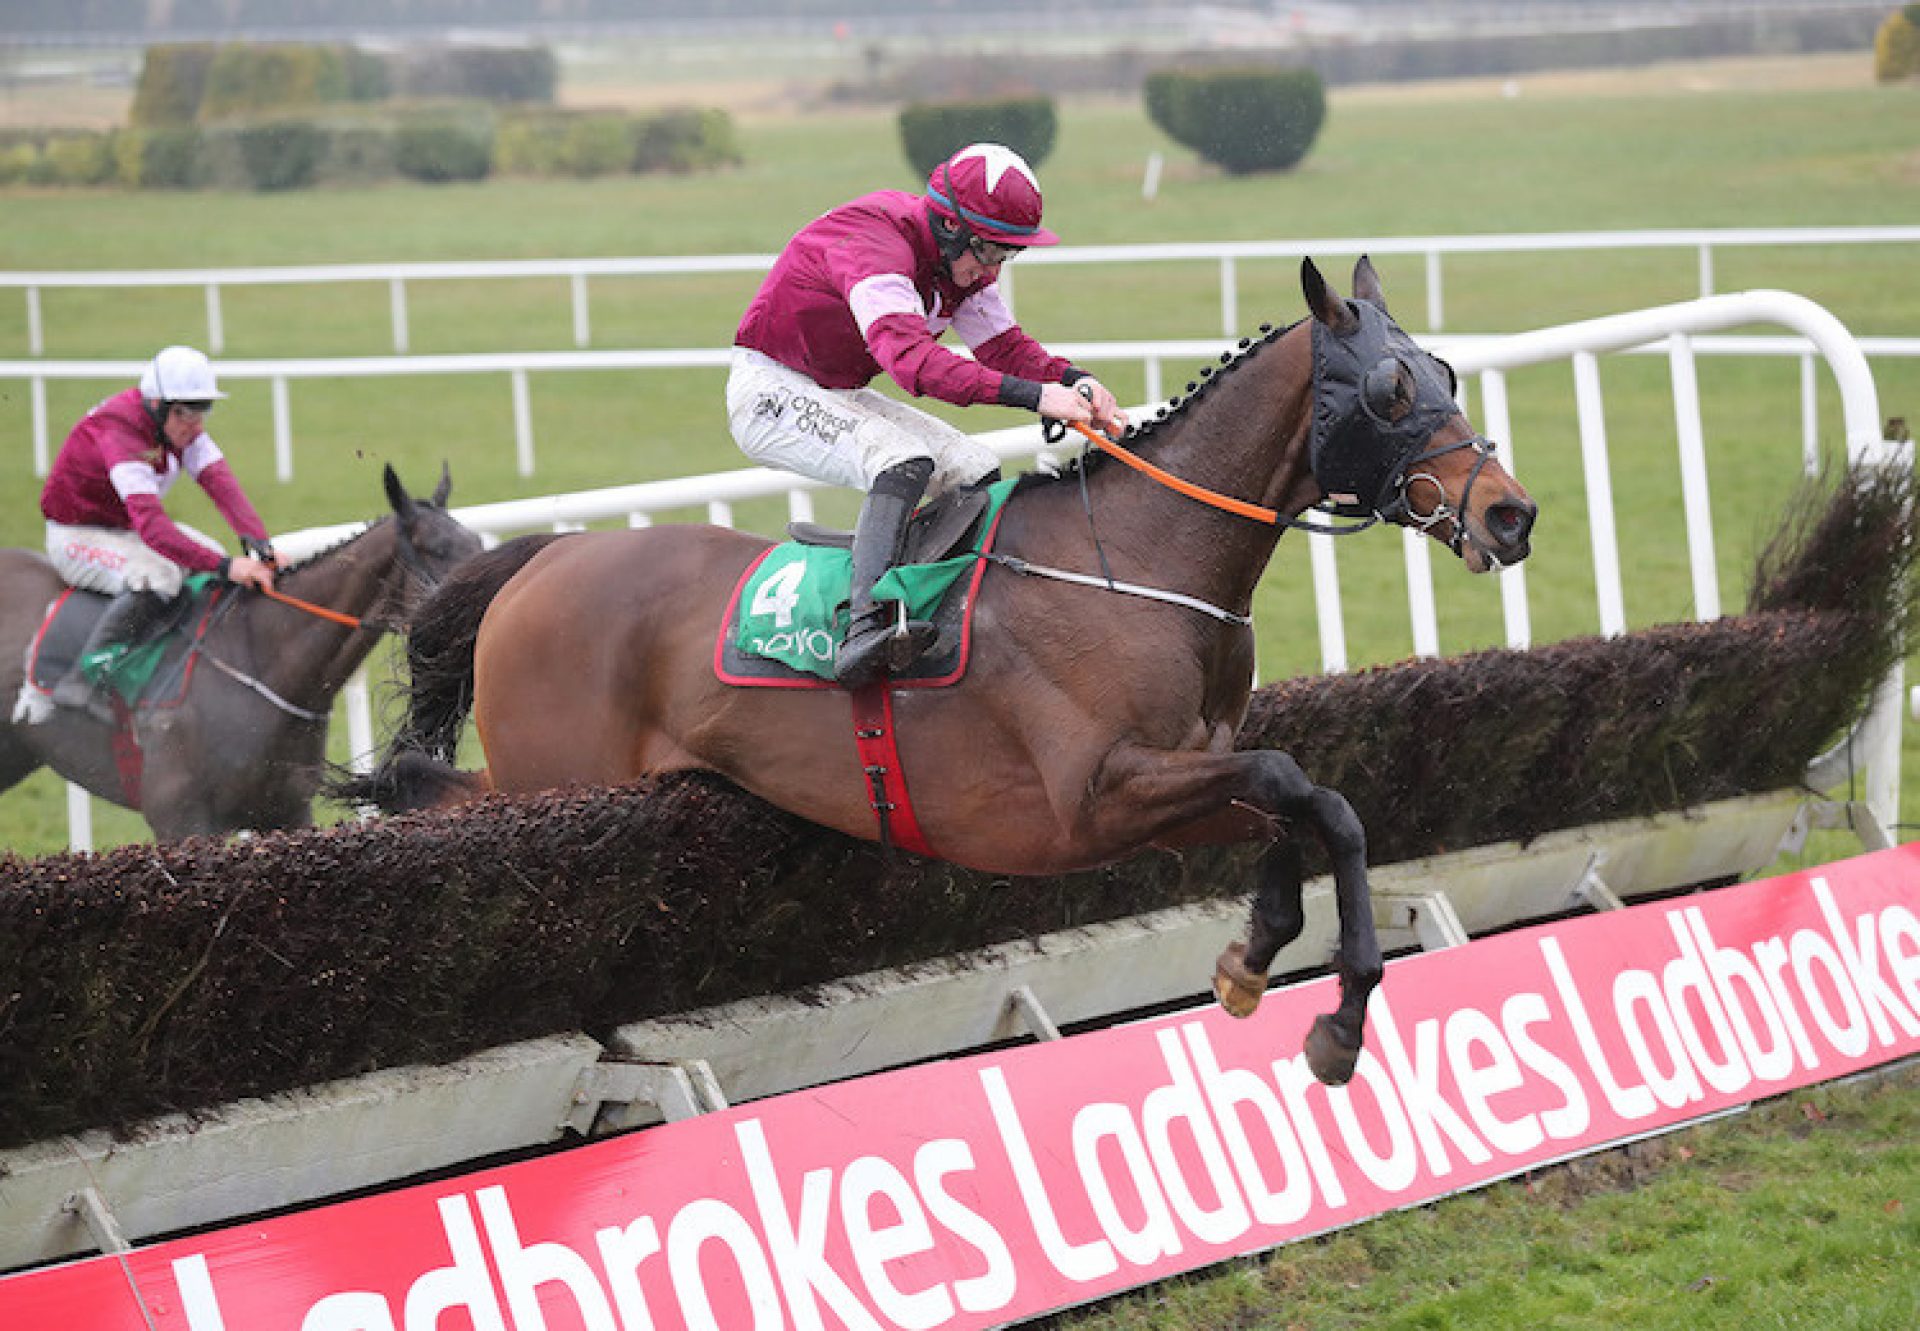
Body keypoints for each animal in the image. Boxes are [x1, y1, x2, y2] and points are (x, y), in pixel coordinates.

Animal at [349, 259, 1543, 1083]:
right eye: (1389, 390)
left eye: (1444, 372)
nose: (1511, 512)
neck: (1136, 559)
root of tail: (545, 557)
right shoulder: (1089, 798)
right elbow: (1301, 783)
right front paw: (1337, 1021)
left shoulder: (1179, 780)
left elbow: (1309, 805)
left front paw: (1261, 962)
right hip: (558, 777)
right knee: (444, 804)